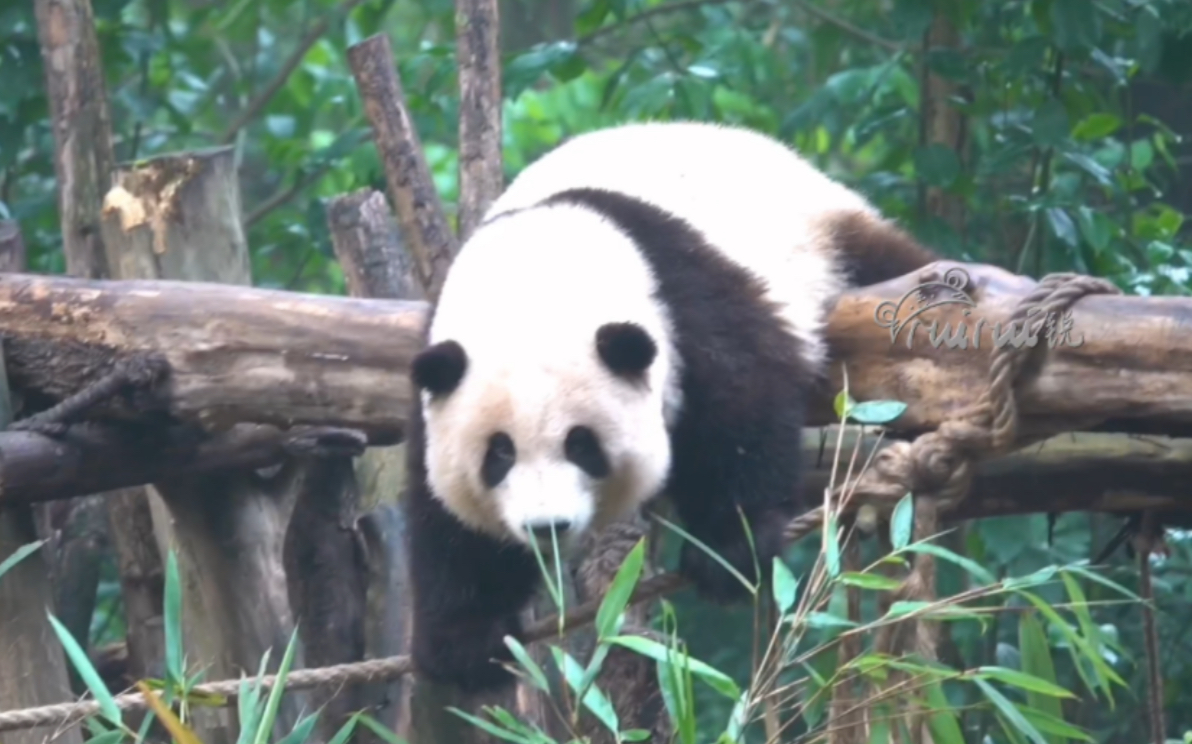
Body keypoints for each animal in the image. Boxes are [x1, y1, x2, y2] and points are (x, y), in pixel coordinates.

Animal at [402, 119, 939, 696]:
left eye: (581, 444)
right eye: (497, 455)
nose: (548, 527)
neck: (534, 285)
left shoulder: (683, 293)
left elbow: (741, 403)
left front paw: (729, 554)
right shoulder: (436, 375)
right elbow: (448, 520)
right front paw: (464, 643)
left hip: (831, 240)